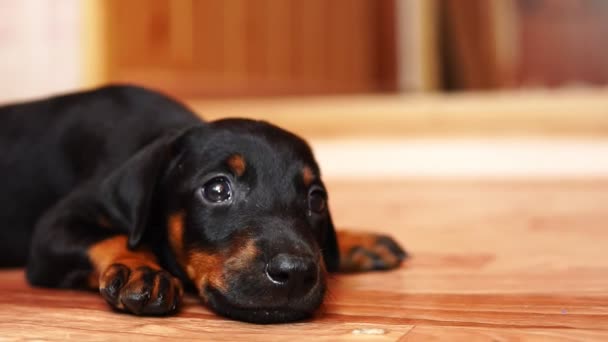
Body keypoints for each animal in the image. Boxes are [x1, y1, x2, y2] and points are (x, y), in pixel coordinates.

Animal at [1, 85, 408, 324]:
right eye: (216, 189)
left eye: (317, 200)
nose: (295, 272)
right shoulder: (55, 227)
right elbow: (111, 237)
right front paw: (138, 267)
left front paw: (356, 240)